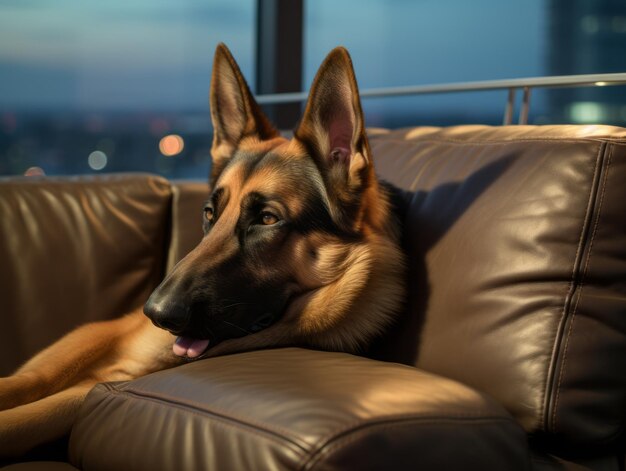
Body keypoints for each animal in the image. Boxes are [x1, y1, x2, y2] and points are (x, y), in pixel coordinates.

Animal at [0, 43, 404, 458]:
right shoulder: (95, 336)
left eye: (268, 219)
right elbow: (25, 380)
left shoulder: (89, 389)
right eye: (210, 213)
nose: (156, 314)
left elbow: (22, 418)